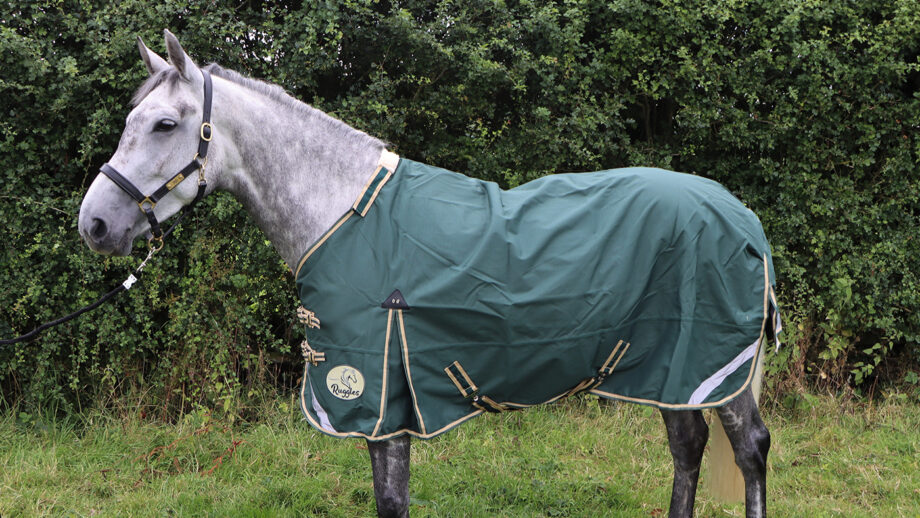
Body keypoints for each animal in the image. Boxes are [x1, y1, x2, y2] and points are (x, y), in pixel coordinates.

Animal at [78, 30, 776, 518]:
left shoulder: (375, 396)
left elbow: (391, 499)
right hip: (667, 368)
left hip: (716, 363)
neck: (342, 212)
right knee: (687, 445)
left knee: (749, 449)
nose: (95, 224)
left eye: (165, 124)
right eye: (129, 122)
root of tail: (739, 213)